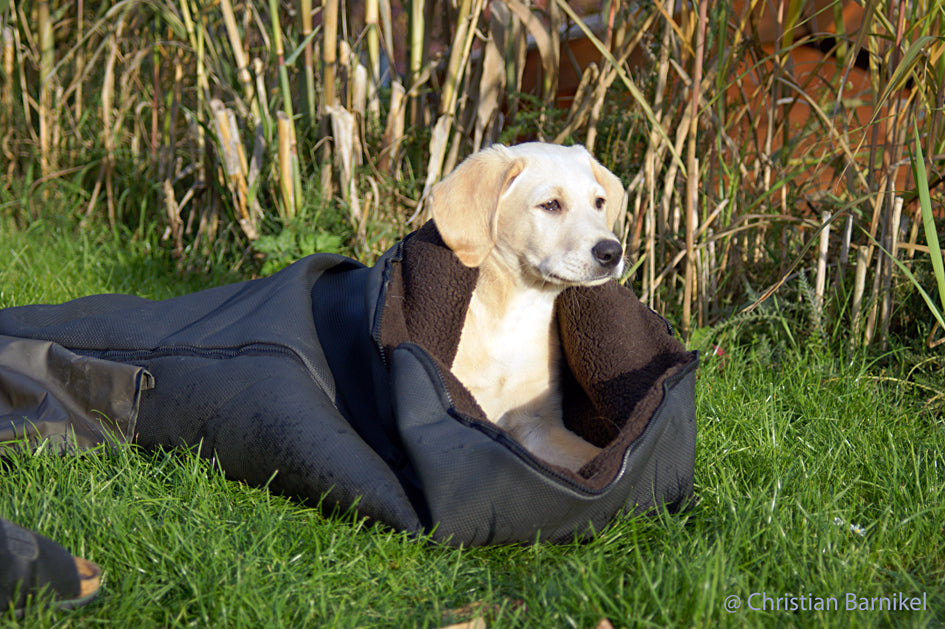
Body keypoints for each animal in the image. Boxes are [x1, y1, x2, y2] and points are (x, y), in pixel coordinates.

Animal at [430, 141, 628, 466]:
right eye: (550, 205)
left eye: (599, 202)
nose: (612, 252)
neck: (515, 313)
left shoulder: (540, 426)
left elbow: (590, 459)